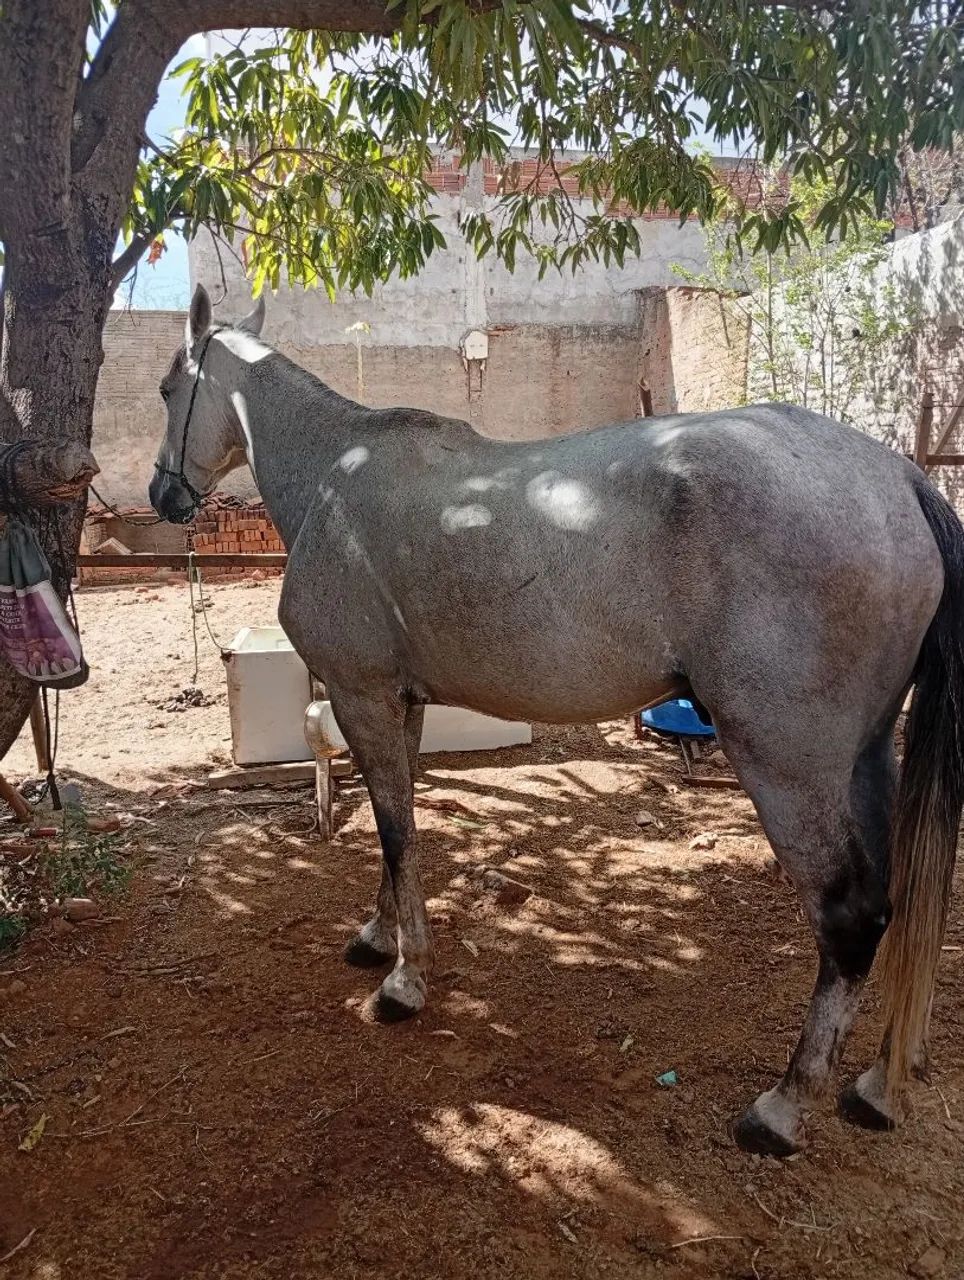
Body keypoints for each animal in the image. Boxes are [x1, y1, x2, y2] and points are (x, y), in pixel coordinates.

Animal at [149, 284, 964, 1158]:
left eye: (167, 390)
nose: (164, 495)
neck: (340, 474)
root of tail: (896, 478)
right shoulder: (398, 705)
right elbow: (398, 825)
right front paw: (378, 936)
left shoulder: (360, 696)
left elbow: (397, 833)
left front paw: (404, 981)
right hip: (866, 755)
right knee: (901, 901)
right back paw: (877, 1083)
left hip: (787, 765)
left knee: (849, 917)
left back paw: (781, 1106)